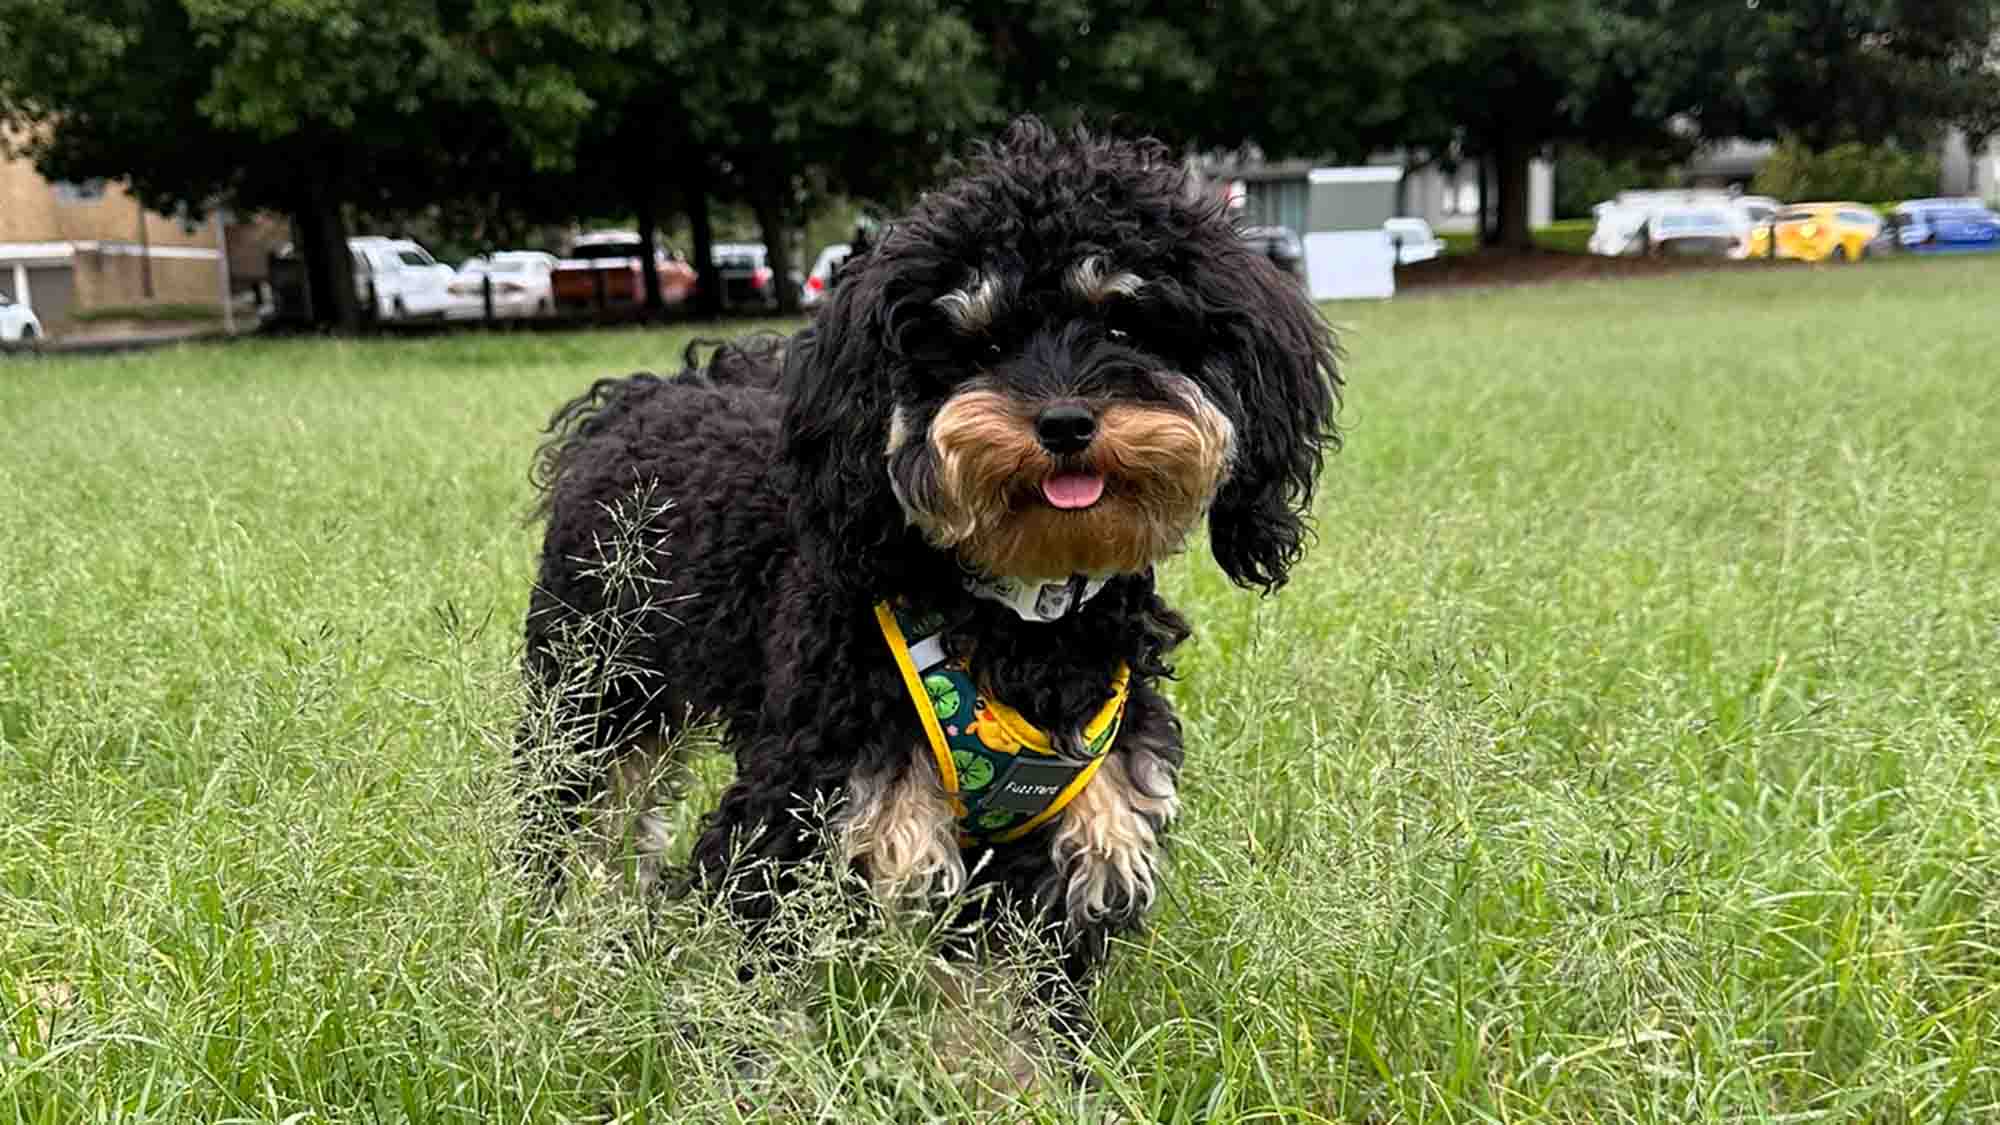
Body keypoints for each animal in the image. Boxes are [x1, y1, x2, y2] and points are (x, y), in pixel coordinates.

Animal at [520, 118, 1344, 1064]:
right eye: (980, 342)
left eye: (1124, 321)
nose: (1066, 422)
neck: (1023, 624)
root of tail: (640, 397)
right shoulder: (801, 810)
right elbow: (762, 997)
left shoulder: (1076, 840)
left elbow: (1017, 1020)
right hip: (595, 697)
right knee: (576, 824)